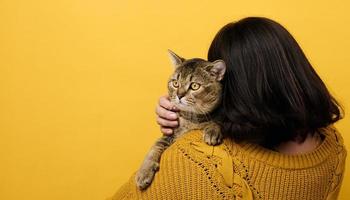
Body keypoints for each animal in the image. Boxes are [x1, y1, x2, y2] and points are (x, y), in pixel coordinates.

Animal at [135, 49, 226, 189]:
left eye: (194, 86)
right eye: (175, 83)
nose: (179, 95)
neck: (190, 118)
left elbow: (217, 120)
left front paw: (212, 131)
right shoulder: (169, 132)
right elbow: (154, 146)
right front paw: (144, 172)